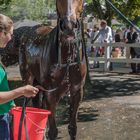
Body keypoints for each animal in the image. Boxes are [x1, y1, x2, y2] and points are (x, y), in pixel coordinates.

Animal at [18, 0, 86, 139]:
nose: (69, 26)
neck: (67, 58)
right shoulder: (51, 93)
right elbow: (53, 131)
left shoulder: (77, 91)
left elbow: (72, 128)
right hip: (29, 82)